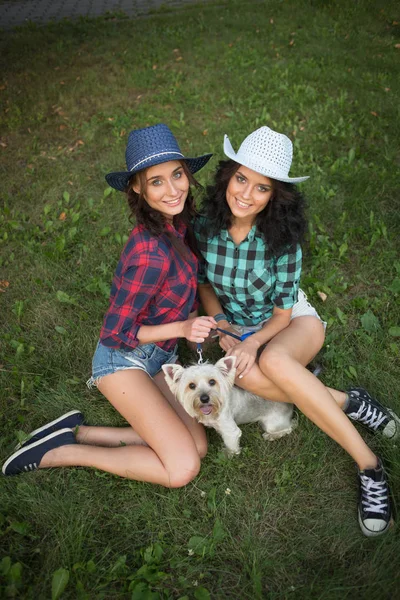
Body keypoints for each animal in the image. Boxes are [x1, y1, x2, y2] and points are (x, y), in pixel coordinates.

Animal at [161, 356, 296, 454]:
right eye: (191, 385)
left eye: (212, 382)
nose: (204, 398)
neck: (214, 410)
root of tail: (289, 403)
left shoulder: (230, 430)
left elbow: (231, 445)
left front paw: (229, 454)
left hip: (271, 424)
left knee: (289, 428)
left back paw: (270, 436)